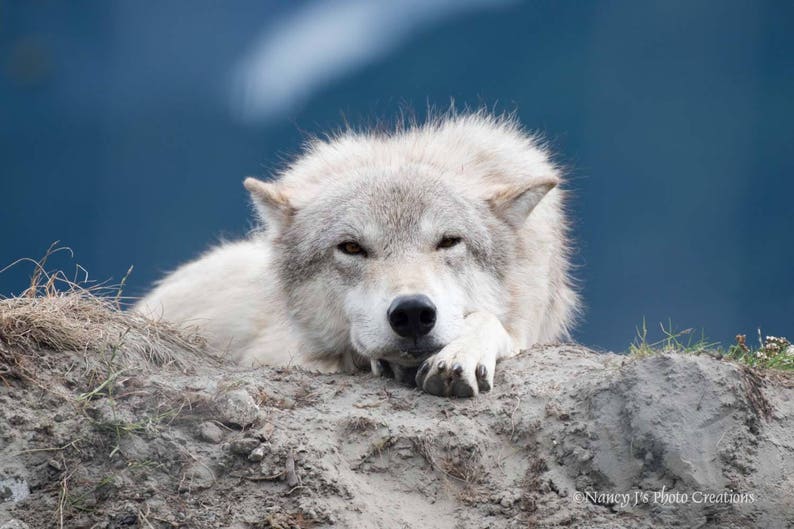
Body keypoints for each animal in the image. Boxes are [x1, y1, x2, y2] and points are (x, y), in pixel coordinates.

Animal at [135, 111, 579, 397]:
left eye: (448, 241)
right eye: (351, 247)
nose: (412, 313)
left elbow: (488, 321)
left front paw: (460, 355)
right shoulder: (275, 351)